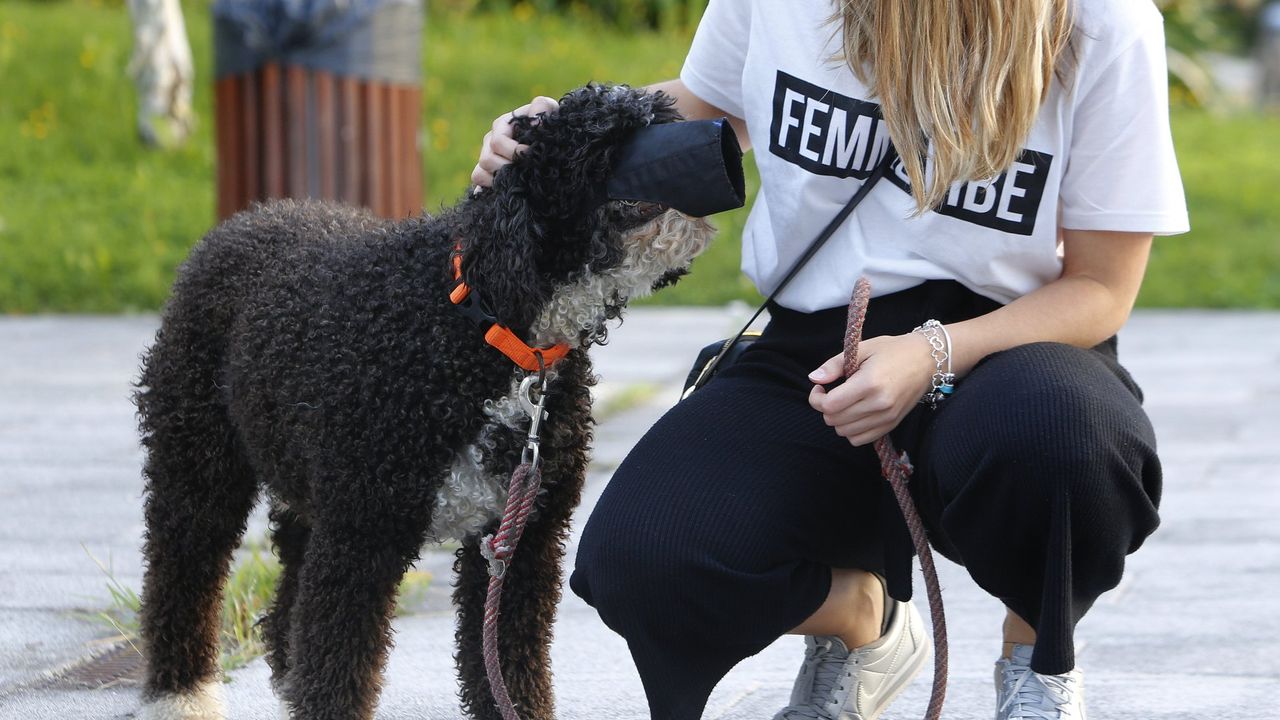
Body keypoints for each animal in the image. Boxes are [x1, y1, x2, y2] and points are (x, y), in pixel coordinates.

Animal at [140, 85, 721, 717]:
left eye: (661, 118)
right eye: (609, 140)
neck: (486, 328)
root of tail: (247, 217)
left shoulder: (522, 540)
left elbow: (509, 665)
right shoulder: (362, 535)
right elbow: (339, 661)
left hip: (303, 483)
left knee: (288, 596)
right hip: (199, 462)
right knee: (182, 572)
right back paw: (182, 695)